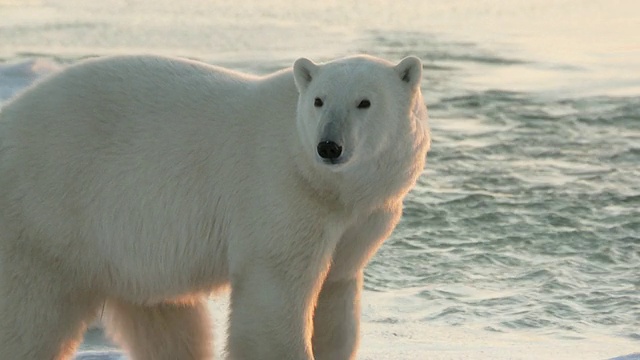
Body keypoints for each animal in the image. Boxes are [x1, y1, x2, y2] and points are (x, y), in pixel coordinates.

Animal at [0, 54, 432, 360]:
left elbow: (336, 293)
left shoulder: (360, 219)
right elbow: (274, 295)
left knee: (164, 320)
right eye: (318, 101)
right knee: (28, 317)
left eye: (365, 102)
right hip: (47, 215)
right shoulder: (280, 192)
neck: (324, 182)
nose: (329, 146)